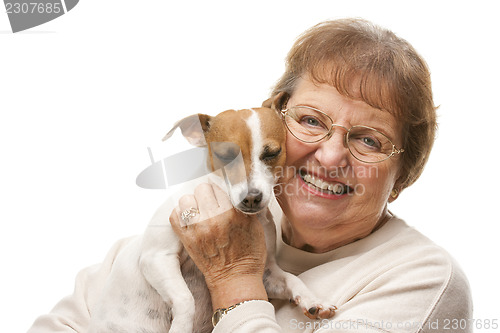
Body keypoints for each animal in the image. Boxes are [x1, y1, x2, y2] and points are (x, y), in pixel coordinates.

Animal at [87, 102, 336, 330]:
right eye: (225, 156)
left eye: (272, 154)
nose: (251, 198)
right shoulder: (157, 258)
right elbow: (185, 300)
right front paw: (181, 327)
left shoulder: (266, 274)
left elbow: (291, 278)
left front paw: (312, 300)